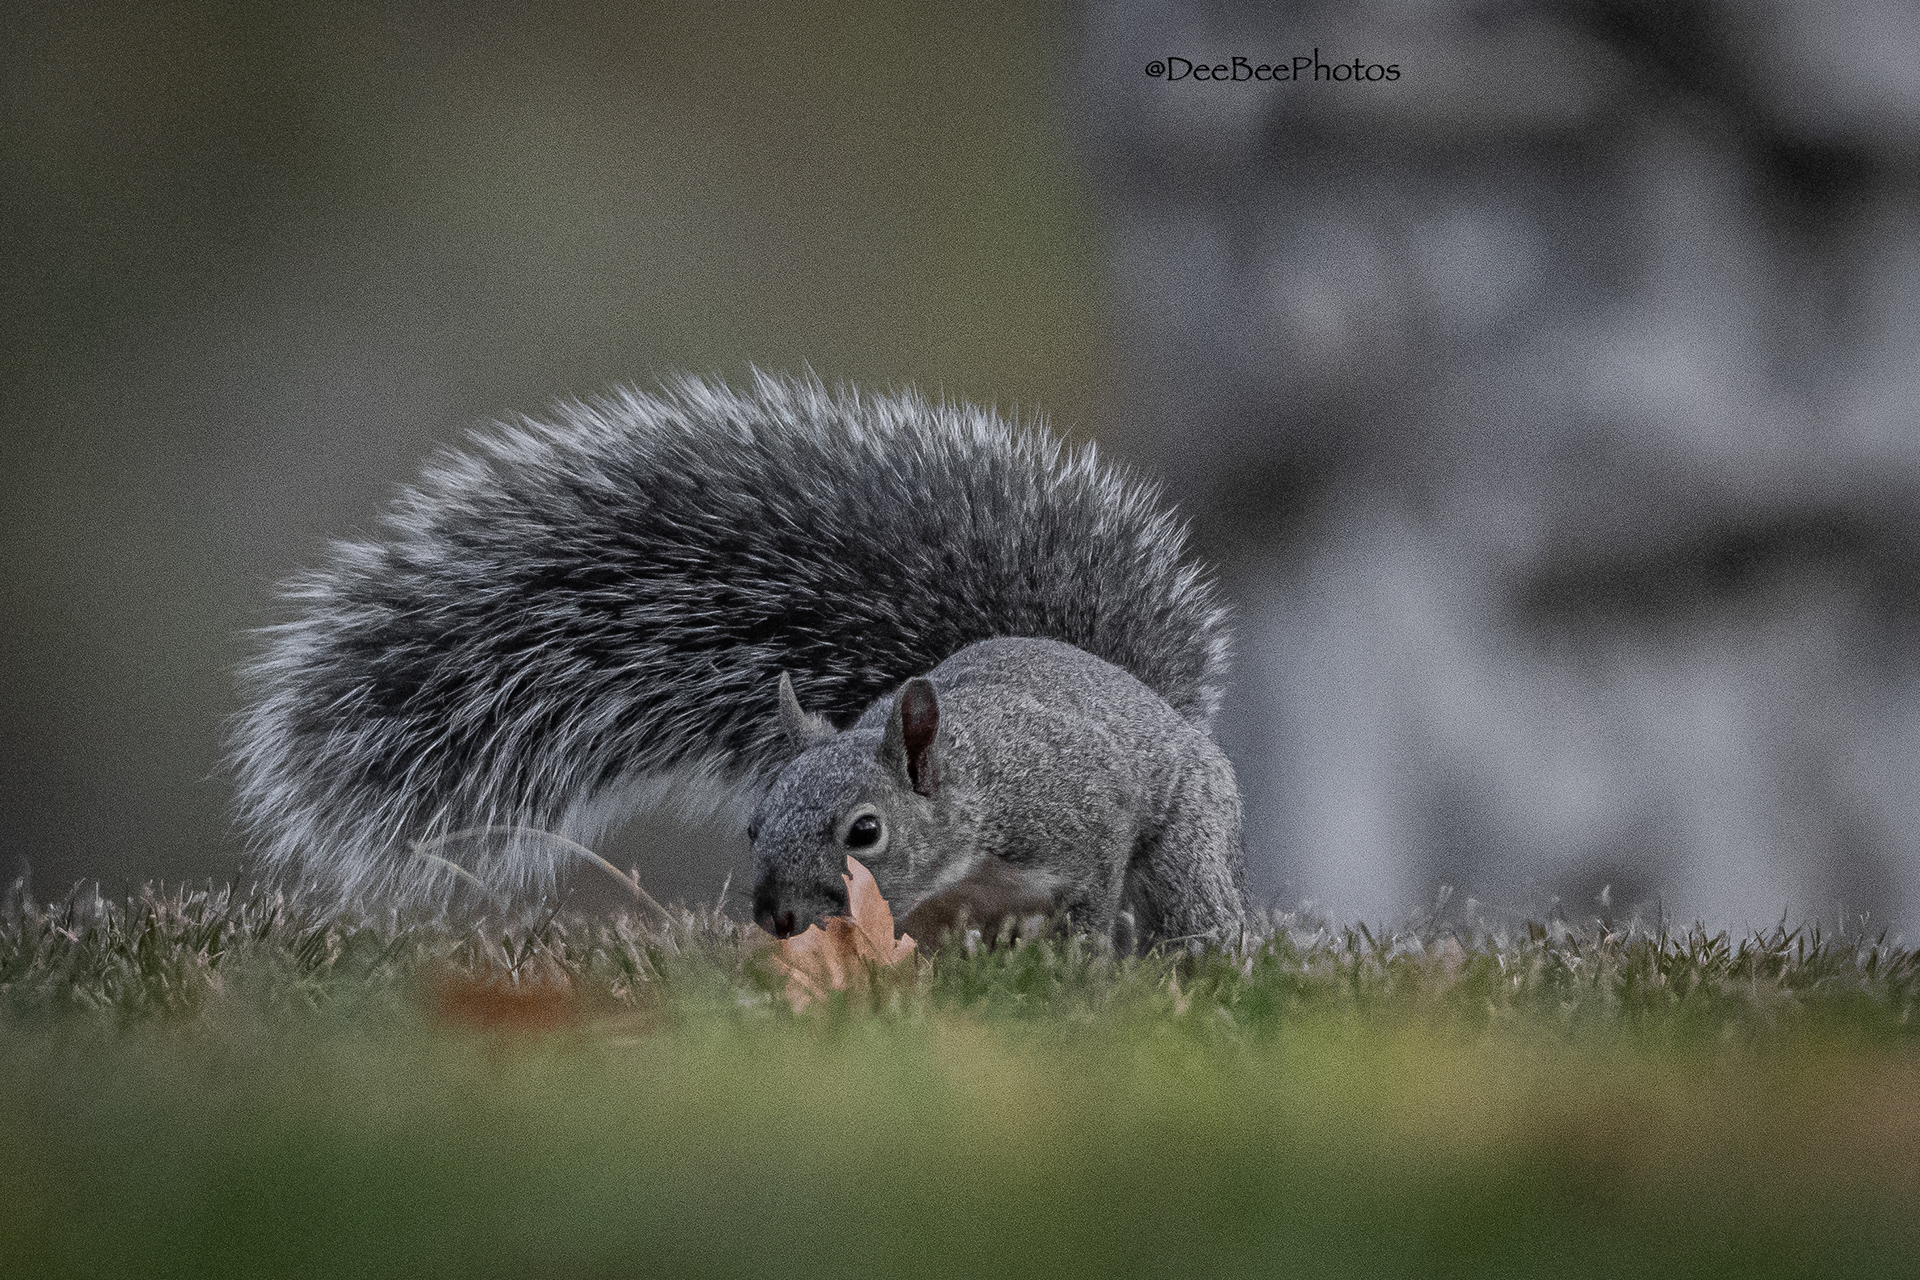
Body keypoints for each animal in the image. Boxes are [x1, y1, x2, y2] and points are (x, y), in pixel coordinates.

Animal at [231, 372, 1248, 944]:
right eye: (753, 825)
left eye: (865, 833)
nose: (776, 920)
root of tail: (1152, 698)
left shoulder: (1080, 821)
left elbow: (1092, 895)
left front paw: (1082, 965)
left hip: (1191, 841)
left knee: (1189, 902)